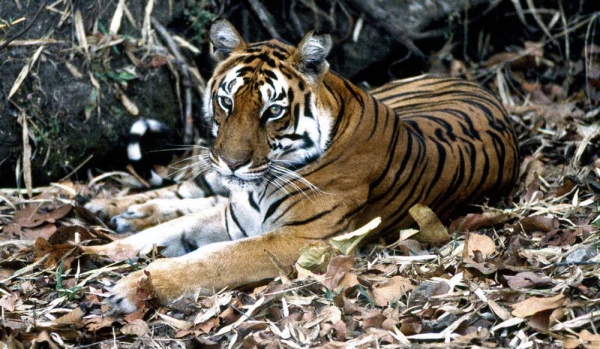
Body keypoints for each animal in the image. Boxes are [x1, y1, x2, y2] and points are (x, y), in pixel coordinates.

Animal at [83, 19, 520, 312]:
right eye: (226, 102)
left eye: (273, 111)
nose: (232, 162)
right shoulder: (236, 215)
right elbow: (170, 230)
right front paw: (102, 250)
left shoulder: (300, 240)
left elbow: (211, 260)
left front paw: (131, 288)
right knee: (188, 189)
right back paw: (113, 209)